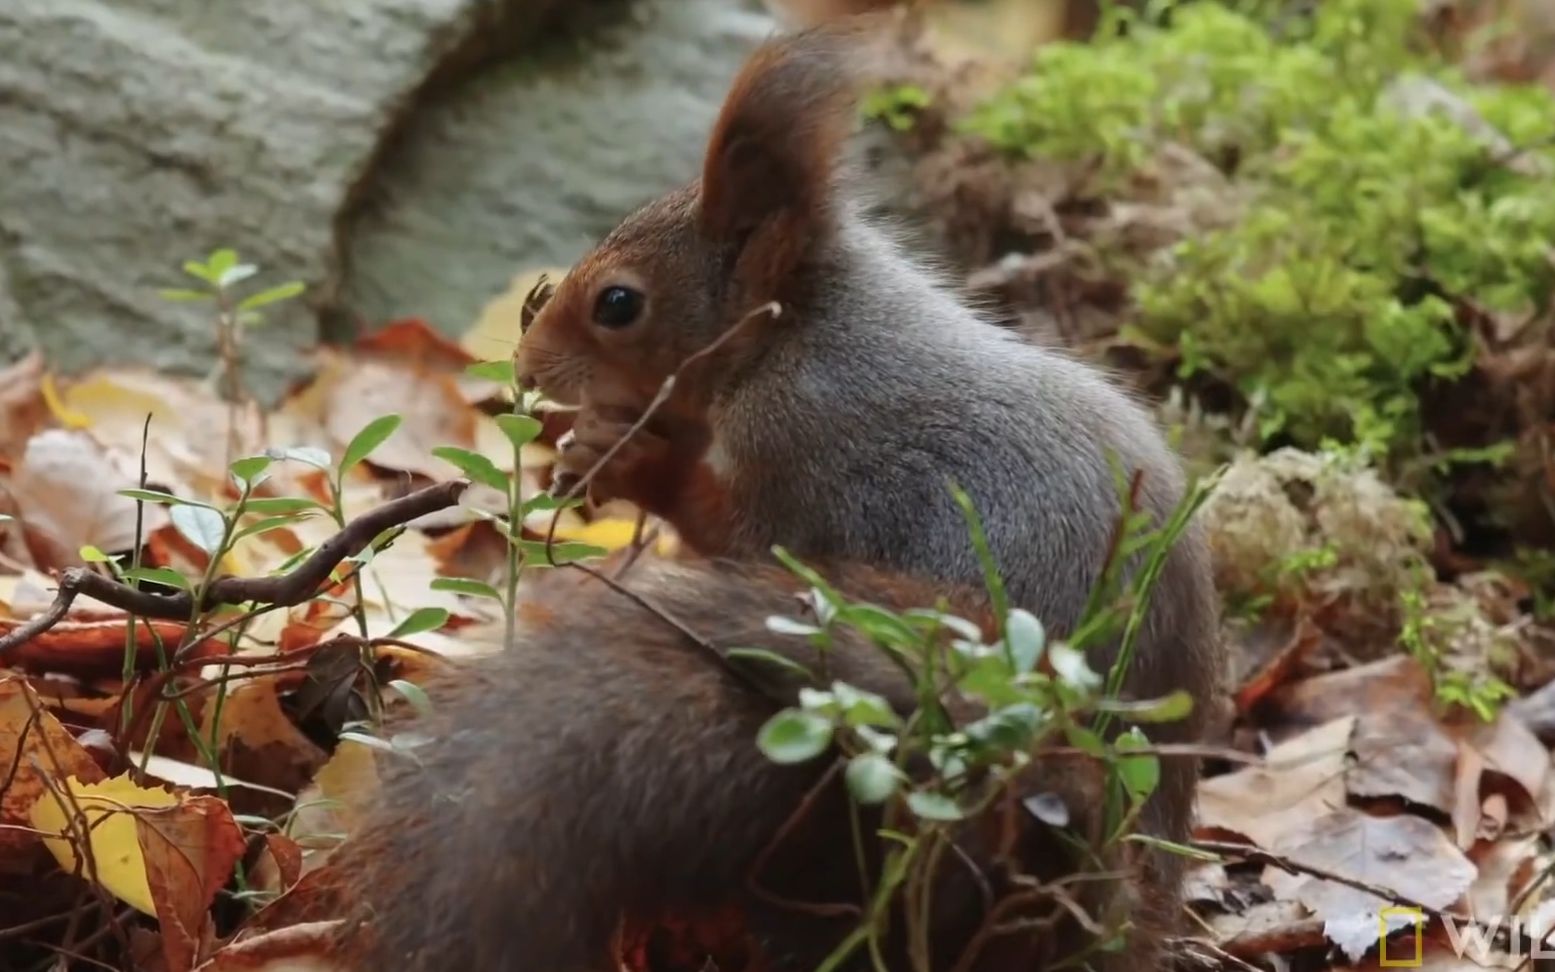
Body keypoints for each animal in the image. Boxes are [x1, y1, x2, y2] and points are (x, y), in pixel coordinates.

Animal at [516, 11, 1219, 908]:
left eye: (616, 304)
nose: (526, 368)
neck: (793, 333)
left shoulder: (802, 444)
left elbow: (751, 537)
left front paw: (632, 461)